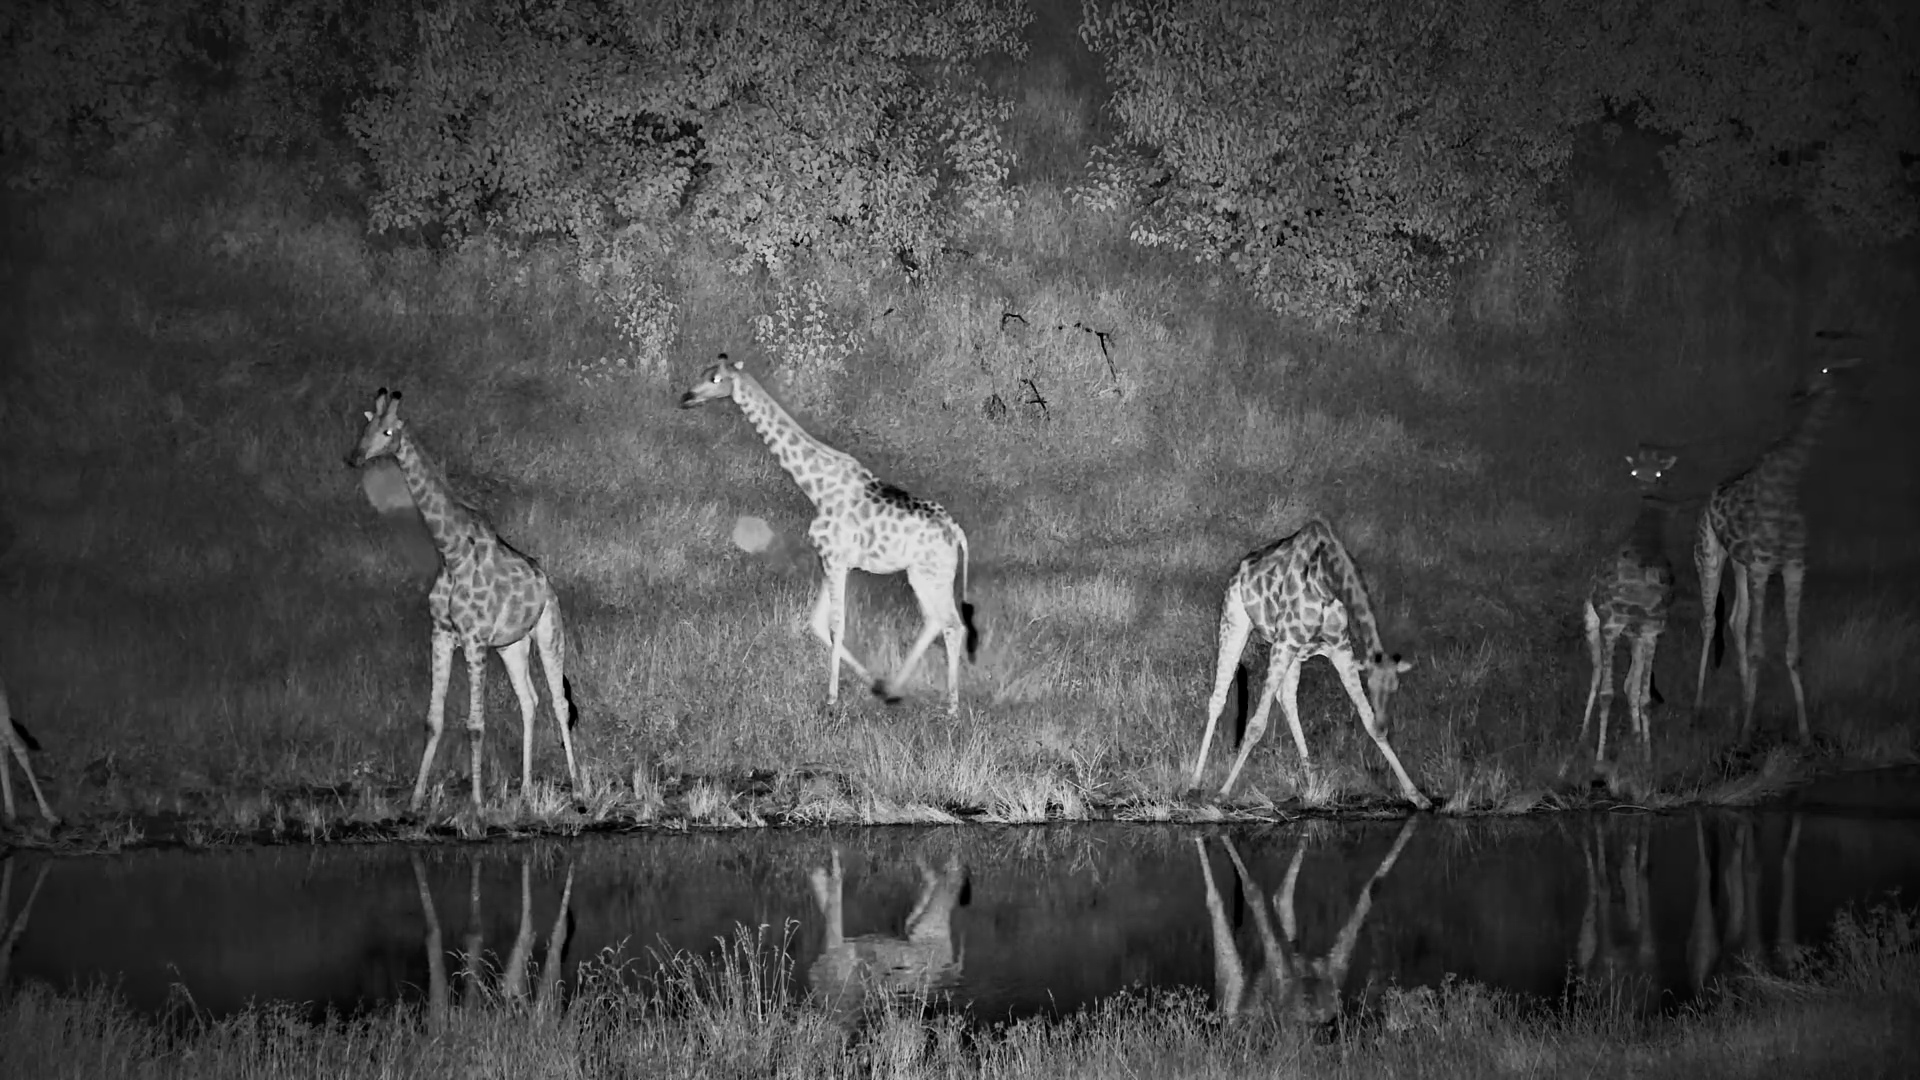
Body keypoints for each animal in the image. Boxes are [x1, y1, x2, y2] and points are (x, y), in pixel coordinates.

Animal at [346, 389, 580, 812]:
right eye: (365, 426)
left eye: (388, 431)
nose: (355, 458)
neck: (450, 552)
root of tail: (546, 583)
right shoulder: (441, 634)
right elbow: (432, 720)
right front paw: (415, 802)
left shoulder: (473, 640)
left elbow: (475, 724)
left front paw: (476, 803)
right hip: (512, 646)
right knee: (529, 700)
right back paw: (525, 791)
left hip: (549, 632)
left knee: (558, 702)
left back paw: (579, 789)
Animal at [679, 356, 980, 715]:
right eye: (702, 372)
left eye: (715, 379)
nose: (686, 397)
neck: (816, 488)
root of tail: (956, 532)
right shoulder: (831, 560)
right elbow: (817, 622)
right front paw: (869, 683)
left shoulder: (835, 559)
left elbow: (838, 625)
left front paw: (832, 698)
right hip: (920, 574)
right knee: (934, 621)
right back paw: (893, 689)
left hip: (932, 574)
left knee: (952, 624)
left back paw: (951, 707)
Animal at [1188, 516, 1429, 809]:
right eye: (1372, 687)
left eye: (1395, 687)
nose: (1386, 724)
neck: (1326, 581)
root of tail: (1239, 569)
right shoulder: (1285, 641)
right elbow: (1256, 725)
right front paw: (1222, 793)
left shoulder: (1339, 646)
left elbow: (1367, 719)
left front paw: (1417, 795)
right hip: (1235, 622)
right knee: (1218, 698)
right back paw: (1194, 783)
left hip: (1294, 651)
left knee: (1287, 698)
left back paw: (1311, 781)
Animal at [1579, 448, 1679, 767]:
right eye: (1634, 471)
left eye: (1658, 472)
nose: (1647, 487)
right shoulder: (1630, 626)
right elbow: (1624, 689)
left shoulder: (1647, 631)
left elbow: (1638, 693)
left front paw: (1642, 750)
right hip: (1599, 622)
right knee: (1598, 680)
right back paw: (1592, 748)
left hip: (1616, 626)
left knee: (1613, 685)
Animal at [1693, 356, 1862, 745]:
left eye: (1825, 371)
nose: (1798, 390)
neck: (1786, 485)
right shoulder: (1762, 566)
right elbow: (1759, 648)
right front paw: (1744, 735)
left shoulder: (1793, 566)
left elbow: (1793, 650)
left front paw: (1805, 734)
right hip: (1710, 554)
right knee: (1710, 621)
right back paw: (1698, 709)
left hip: (1740, 564)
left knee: (1735, 619)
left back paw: (1744, 701)